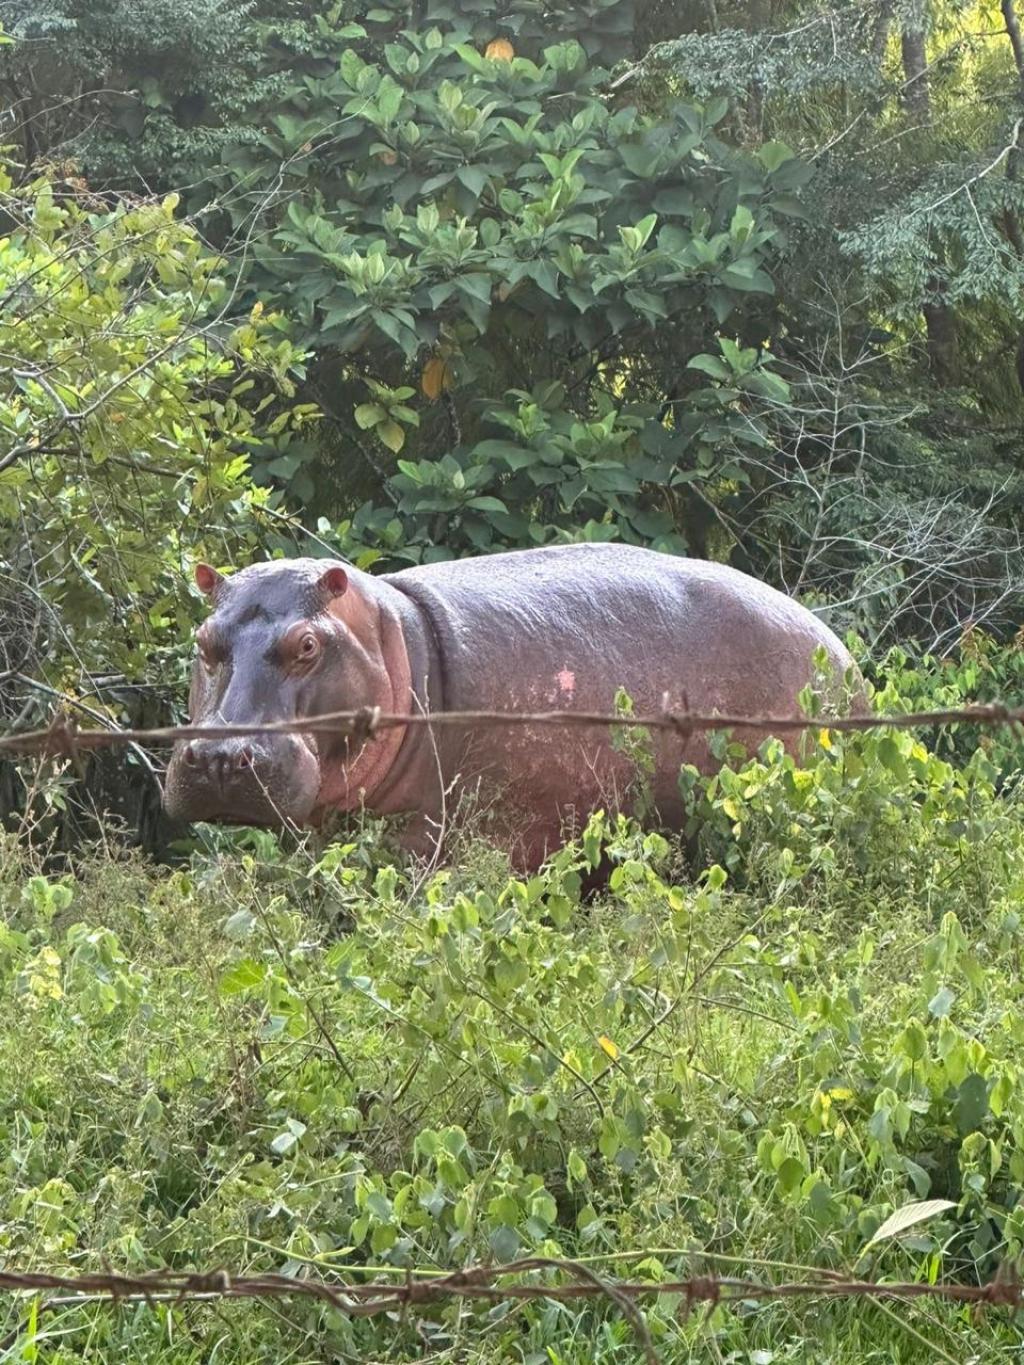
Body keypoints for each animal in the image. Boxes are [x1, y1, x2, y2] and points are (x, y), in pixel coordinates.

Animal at [163, 543, 859, 868]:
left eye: (307, 644)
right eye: (202, 639)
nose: (221, 757)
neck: (393, 636)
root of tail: (842, 655)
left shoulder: (431, 842)